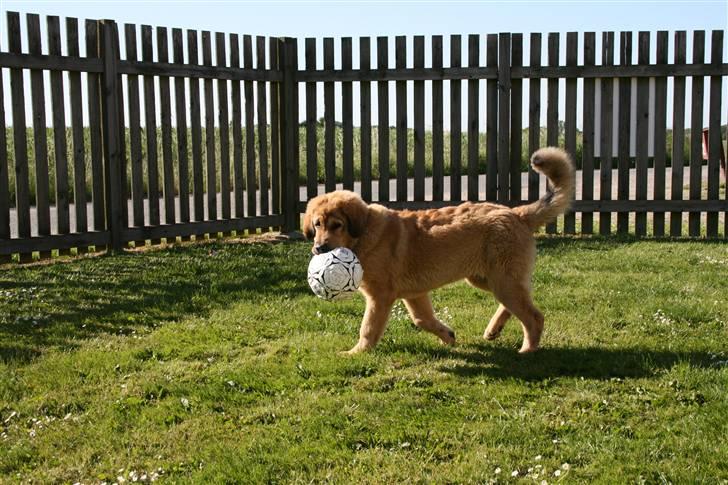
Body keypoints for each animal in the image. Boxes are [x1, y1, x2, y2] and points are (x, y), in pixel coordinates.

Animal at [302, 146, 576, 354]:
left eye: (337, 225)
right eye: (317, 224)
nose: (319, 248)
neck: (365, 234)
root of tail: (517, 214)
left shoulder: (380, 297)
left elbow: (368, 328)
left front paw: (357, 352)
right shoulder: (414, 294)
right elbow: (423, 320)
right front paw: (448, 336)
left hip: (502, 280)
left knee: (534, 316)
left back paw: (527, 350)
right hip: (489, 278)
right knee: (522, 300)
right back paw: (493, 330)